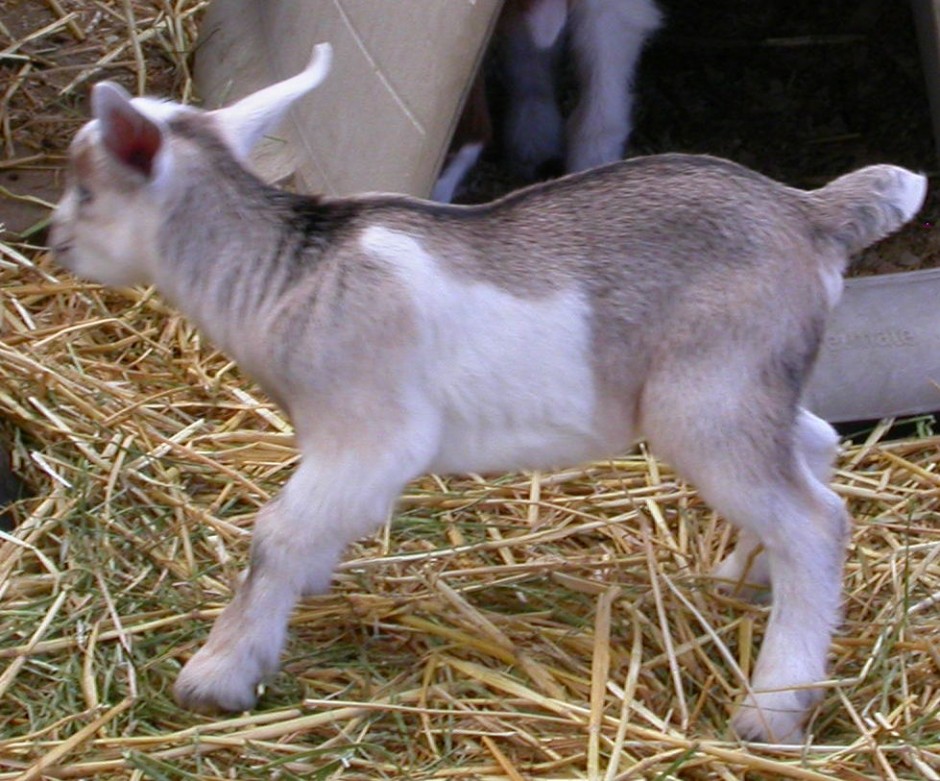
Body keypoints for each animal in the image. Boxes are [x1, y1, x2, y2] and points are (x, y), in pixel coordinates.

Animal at [49, 43, 926, 743]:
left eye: (87, 189)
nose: (54, 242)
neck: (290, 273)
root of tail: (811, 214)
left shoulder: (369, 433)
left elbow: (277, 534)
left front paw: (217, 673)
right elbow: (308, 533)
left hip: (708, 399)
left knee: (815, 521)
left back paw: (773, 708)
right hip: (746, 383)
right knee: (813, 445)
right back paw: (744, 575)